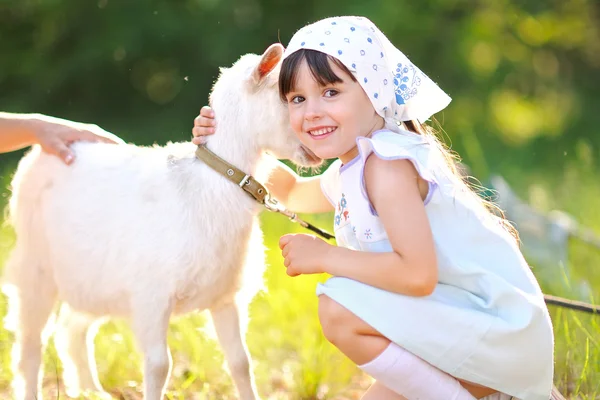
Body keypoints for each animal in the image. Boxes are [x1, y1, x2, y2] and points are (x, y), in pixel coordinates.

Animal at [2, 43, 322, 400]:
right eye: (292, 97)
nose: (316, 152)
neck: (208, 187)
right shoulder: (152, 296)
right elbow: (159, 366)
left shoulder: (225, 295)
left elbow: (241, 362)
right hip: (37, 270)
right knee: (31, 346)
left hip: (91, 278)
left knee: (71, 331)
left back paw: (92, 390)